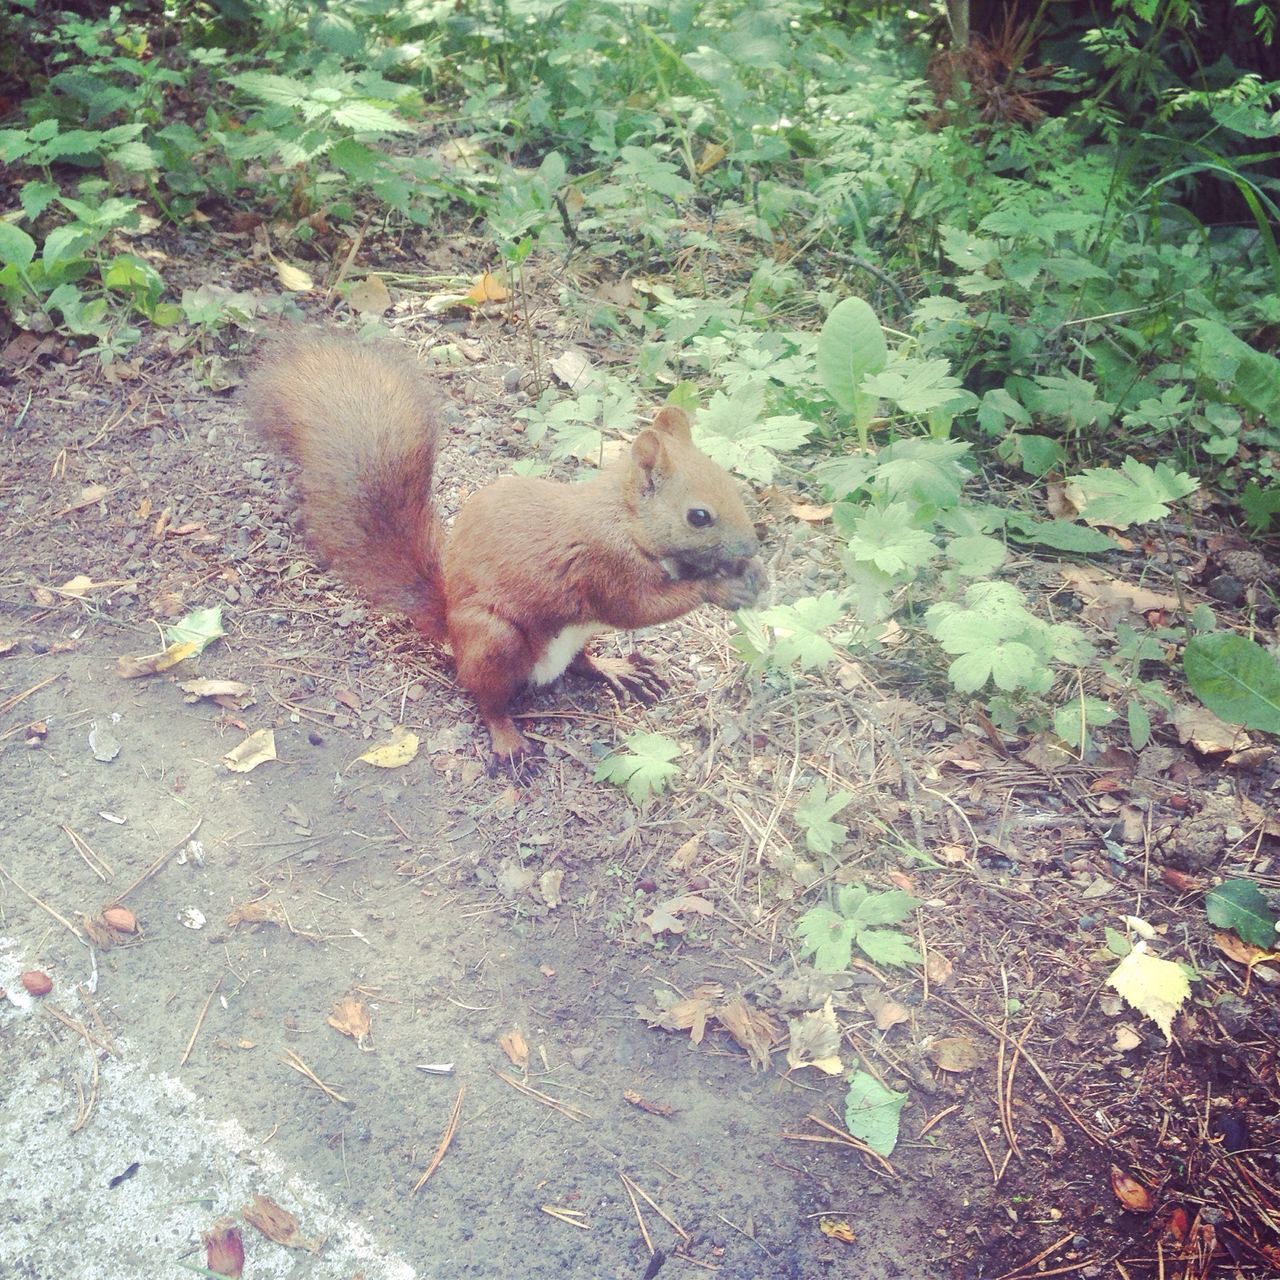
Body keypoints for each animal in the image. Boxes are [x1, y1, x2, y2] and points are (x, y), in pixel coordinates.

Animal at [244, 335, 762, 762]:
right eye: (699, 516)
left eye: (731, 483)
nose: (753, 545)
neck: (626, 517)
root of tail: (450, 626)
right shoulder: (603, 563)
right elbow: (638, 607)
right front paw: (722, 588)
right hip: (495, 640)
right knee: (486, 698)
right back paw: (508, 739)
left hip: (569, 637)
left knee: (581, 663)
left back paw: (615, 668)